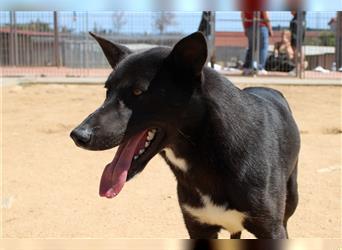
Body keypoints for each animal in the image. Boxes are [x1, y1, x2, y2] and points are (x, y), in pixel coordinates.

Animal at [71, 31, 300, 238]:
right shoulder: (197, 226)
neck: (209, 149)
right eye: (107, 91)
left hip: (291, 199)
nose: (78, 135)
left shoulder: (270, 230)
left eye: (138, 92)